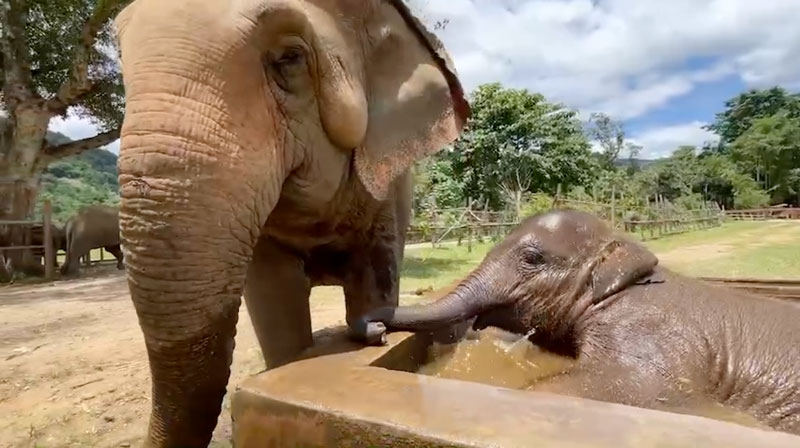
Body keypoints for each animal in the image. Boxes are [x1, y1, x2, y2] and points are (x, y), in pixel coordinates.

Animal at [115, 1, 472, 446]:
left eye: (290, 57)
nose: (374, 329)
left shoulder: (385, 186)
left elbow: (375, 268)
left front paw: (371, 325)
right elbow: (275, 297)